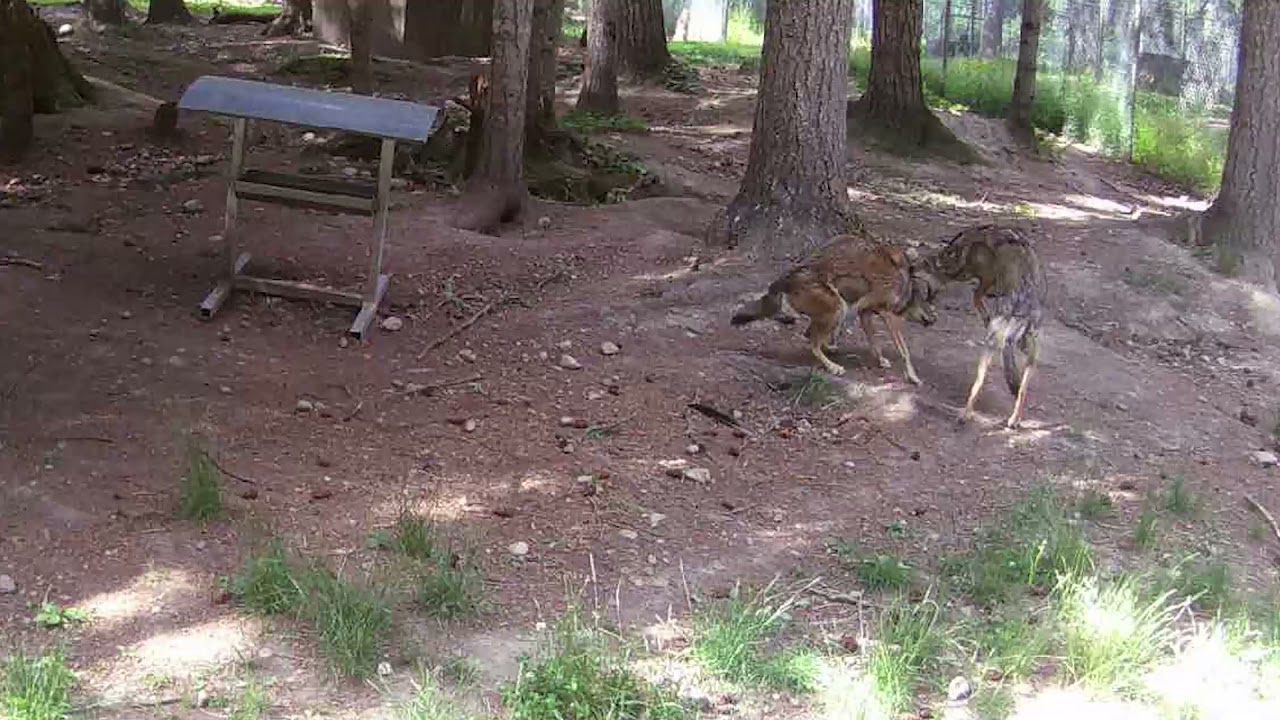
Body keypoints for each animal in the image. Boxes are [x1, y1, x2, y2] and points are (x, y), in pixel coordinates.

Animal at [731, 234, 939, 384]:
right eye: (926, 301)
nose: (934, 319)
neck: (904, 281)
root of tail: (785, 277)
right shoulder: (889, 315)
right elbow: (904, 351)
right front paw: (913, 377)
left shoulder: (865, 313)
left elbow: (875, 343)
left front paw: (881, 361)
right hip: (838, 308)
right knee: (812, 341)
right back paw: (833, 367)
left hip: (840, 311)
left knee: (812, 336)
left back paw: (831, 349)